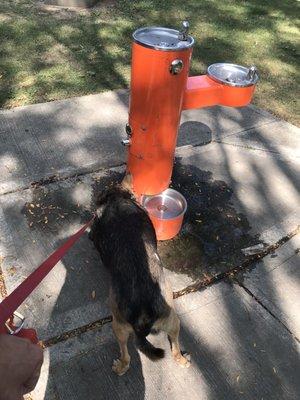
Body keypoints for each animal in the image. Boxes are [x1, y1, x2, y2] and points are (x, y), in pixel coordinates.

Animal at [88, 175, 190, 376]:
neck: (116, 199)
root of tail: (144, 312)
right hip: (173, 320)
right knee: (175, 350)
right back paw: (183, 360)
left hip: (117, 326)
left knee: (126, 357)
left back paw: (120, 367)